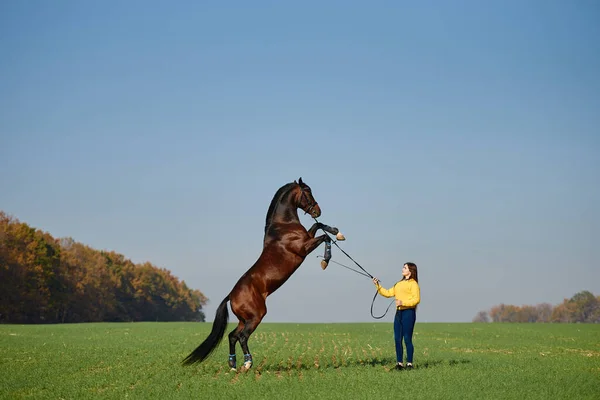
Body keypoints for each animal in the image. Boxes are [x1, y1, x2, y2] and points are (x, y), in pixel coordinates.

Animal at [180, 178, 340, 372]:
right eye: (308, 191)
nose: (318, 211)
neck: (283, 226)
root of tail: (230, 296)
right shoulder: (303, 247)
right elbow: (324, 237)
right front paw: (326, 259)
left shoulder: (307, 238)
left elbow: (318, 225)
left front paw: (337, 232)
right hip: (256, 316)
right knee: (242, 337)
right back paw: (247, 363)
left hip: (244, 319)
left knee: (232, 336)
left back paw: (233, 365)